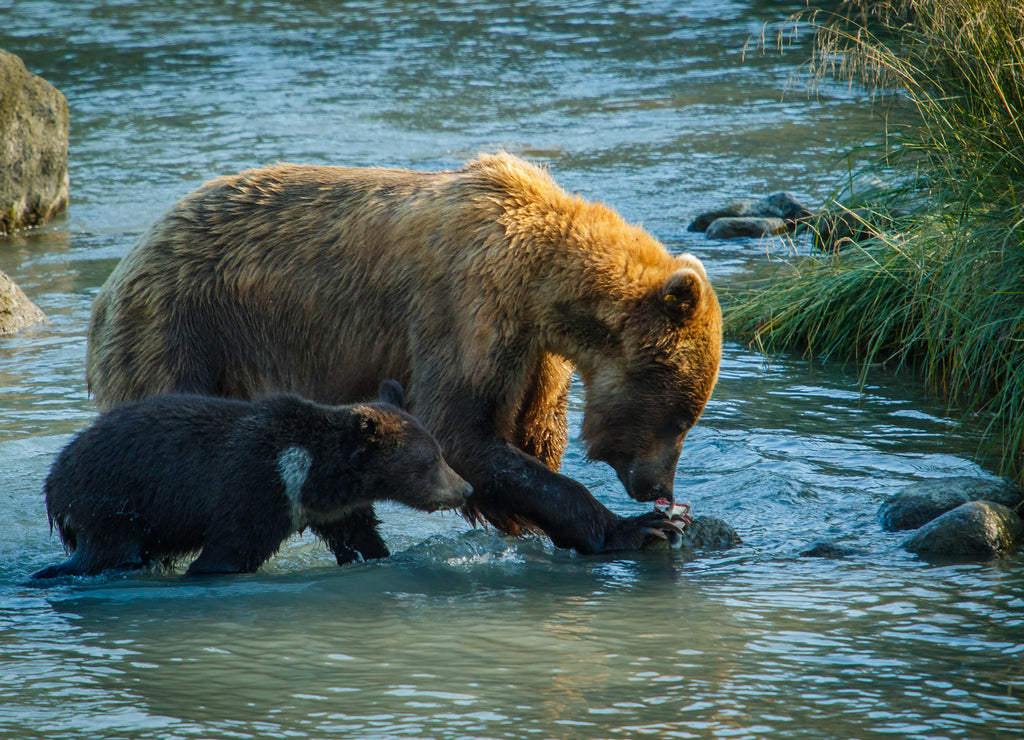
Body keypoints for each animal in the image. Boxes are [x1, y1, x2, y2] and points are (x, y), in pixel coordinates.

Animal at [86, 150, 720, 556]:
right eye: (679, 418)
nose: (658, 488)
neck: (543, 288)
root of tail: (115, 278)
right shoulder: (469, 306)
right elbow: (461, 432)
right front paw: (635, 528)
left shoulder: (537, 358)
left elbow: (531, 437)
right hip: (180, 334)